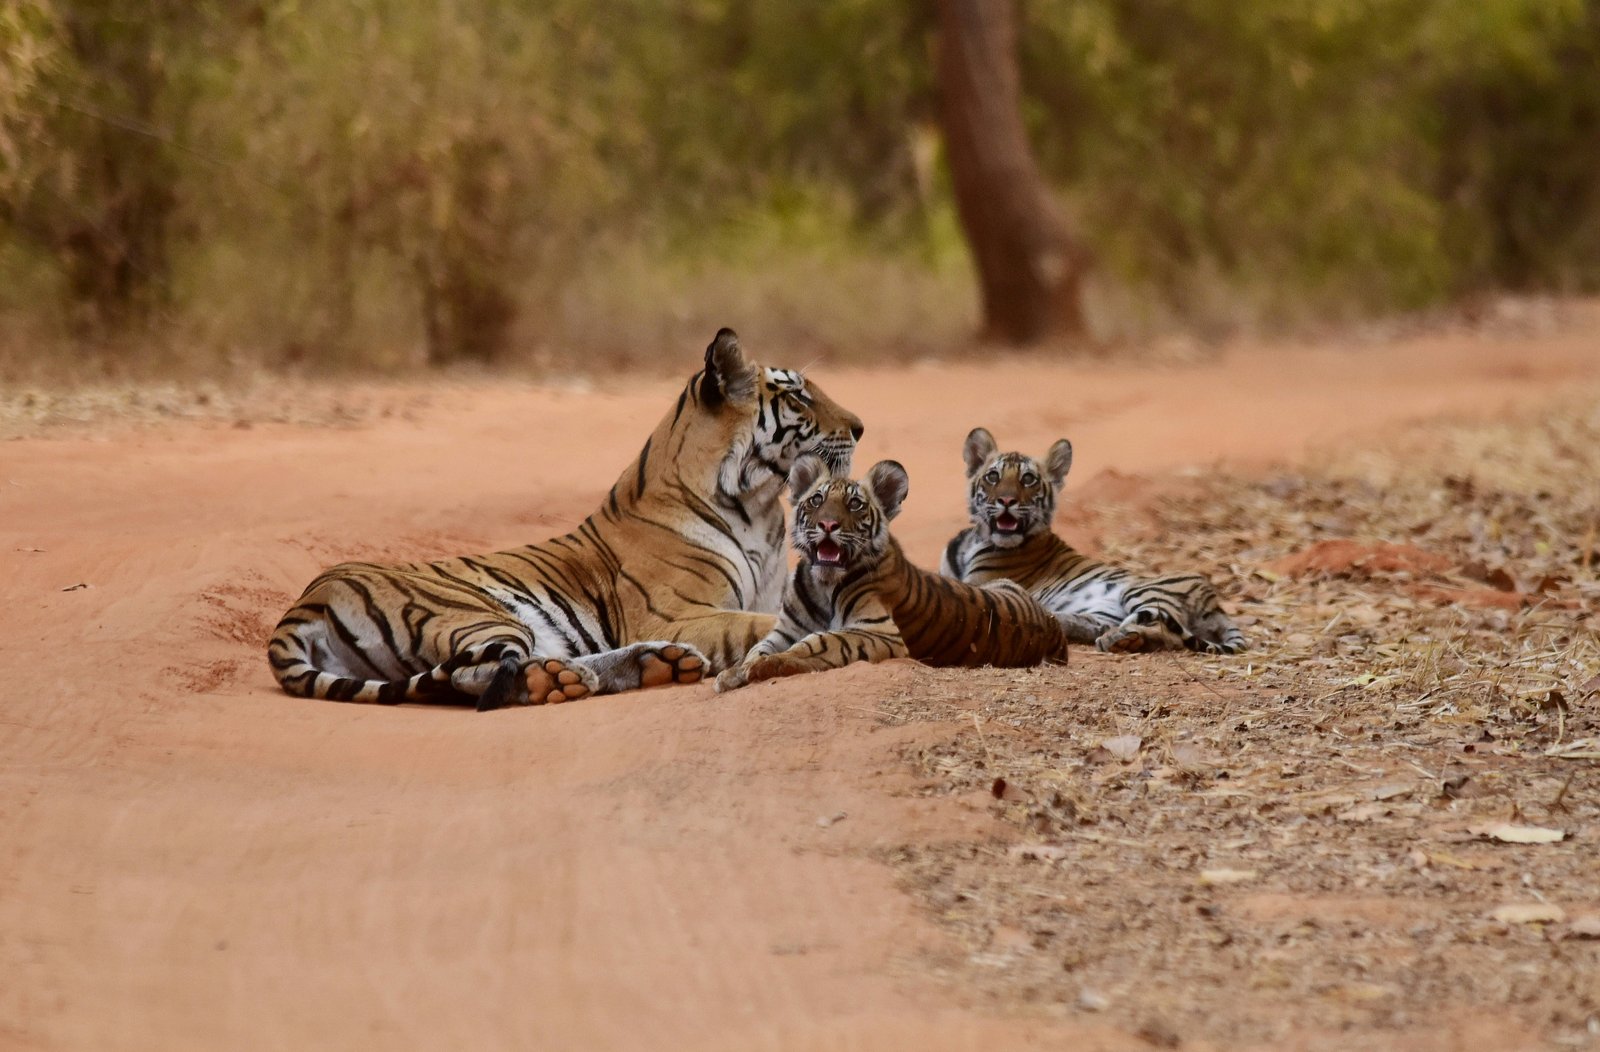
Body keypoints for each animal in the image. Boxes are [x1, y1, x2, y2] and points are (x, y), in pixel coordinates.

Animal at [268, 328, 864, 711]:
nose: (860, 427)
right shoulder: (678, 613)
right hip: (475, 613)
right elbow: (759, 626)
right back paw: (566, 680)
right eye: (798, 396)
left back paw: (656, 665)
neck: (760, 506)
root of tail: (305, 602)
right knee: (472, 676)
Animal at [714, 454, 1068, 692]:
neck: (822, 584)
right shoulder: (785, 629)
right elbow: (758, 648)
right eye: (816, 499)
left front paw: (768, 666)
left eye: (855, 504)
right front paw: (735, 672)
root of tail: (1051, 624)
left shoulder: (880, 631)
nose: (827, 524)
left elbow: (820, 641)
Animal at [939, 427, 1246, 654]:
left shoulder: (980, 583)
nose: (1006, 500)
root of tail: (1214, 602)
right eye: (993, 476)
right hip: (1104, 611)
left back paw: (1117, 639)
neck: (976, 539)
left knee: (1164, 631)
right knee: (1102, 626)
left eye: (1028, 479)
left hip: (1144, 592)